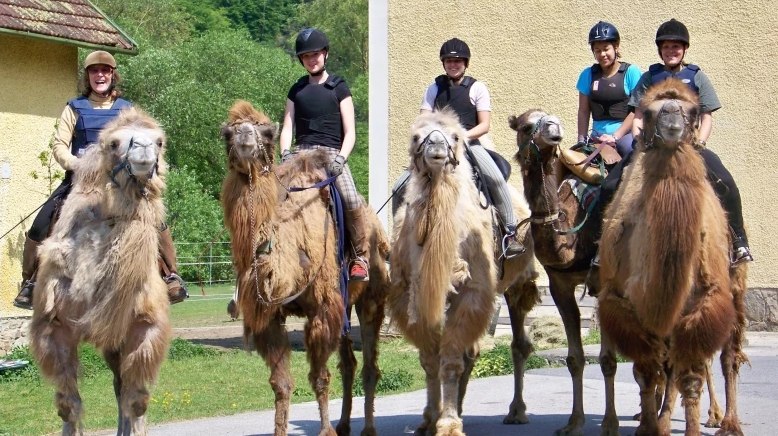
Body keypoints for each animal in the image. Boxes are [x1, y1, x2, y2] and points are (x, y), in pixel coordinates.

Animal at [30, 108, 171, 436]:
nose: (144, 152)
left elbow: (137, 401)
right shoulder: (53, 327)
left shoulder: (142, 325)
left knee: (121, 387)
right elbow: (68, 405)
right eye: (114, 143)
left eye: (159, 141)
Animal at [220, 100, 390, 436]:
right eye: (226, 133)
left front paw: (325, 431)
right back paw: (344, 423)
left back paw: (368, 428)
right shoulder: (269, 316)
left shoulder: (322, 307)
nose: (244, 141)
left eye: (266, 132)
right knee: (349, 363)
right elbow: (280, 383)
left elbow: (320, 379)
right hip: (344, 304)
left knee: (369, 365)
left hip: (372, 299)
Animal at [389, 109, 539, 435]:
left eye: (456, 137)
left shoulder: (472, 292)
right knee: (471, 353)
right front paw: (430, 419)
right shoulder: (412, 296)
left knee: (517, 342)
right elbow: (429, 361)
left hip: (516, 281)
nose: (436, 148)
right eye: (416, 136)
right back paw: (458, 406)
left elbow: (450, 359)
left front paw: (447, 423)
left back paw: (516, 411)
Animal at [510, 109, 602, 435]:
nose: (554, 128)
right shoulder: (559, 283)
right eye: (526, 126)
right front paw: (573, 422)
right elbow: (574, 358)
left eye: (553, 119)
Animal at [596, 78, 747, 436]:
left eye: (693, 111)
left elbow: (689, 377)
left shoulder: (701, 305)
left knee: (728, 356)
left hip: (734, 285)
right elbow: (646, 373)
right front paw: (648, 427)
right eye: (648, 112)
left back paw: (729, 422)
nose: (672, 124)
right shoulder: (625, 306)